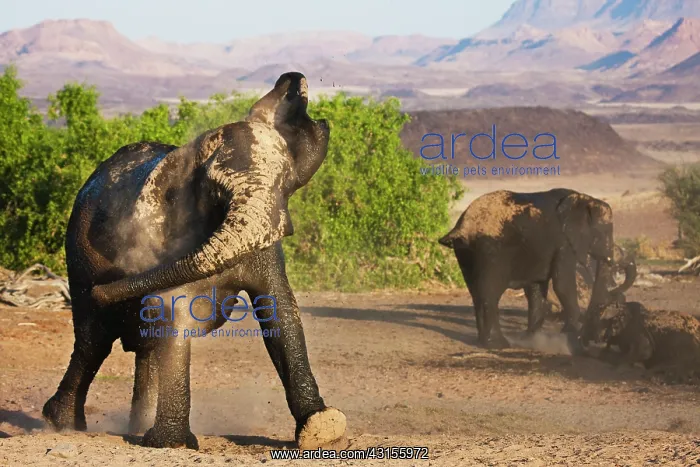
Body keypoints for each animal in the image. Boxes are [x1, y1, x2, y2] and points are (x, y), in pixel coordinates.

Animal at [42, 72, 347, 451]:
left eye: (286, 183)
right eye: (215, 191)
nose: (106, 288)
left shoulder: (265, 241)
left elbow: (280, 309)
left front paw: (323, 429)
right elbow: (174, 309)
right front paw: (172, 444)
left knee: (141, 343)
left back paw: (134, 427)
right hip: (78, 251)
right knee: (92, 341)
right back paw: (62, 424)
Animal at [438, 189, 637, 350]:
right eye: (605, 232)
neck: (583, 198)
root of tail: (462, 227)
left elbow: (536, 288)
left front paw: (533, 339)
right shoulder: (564, 242)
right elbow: (562, 284)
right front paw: (570, 334)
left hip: (465, 253)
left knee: (476, 292)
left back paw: (484, 343)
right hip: (490, 250)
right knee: (490, 292)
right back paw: (498, 345)